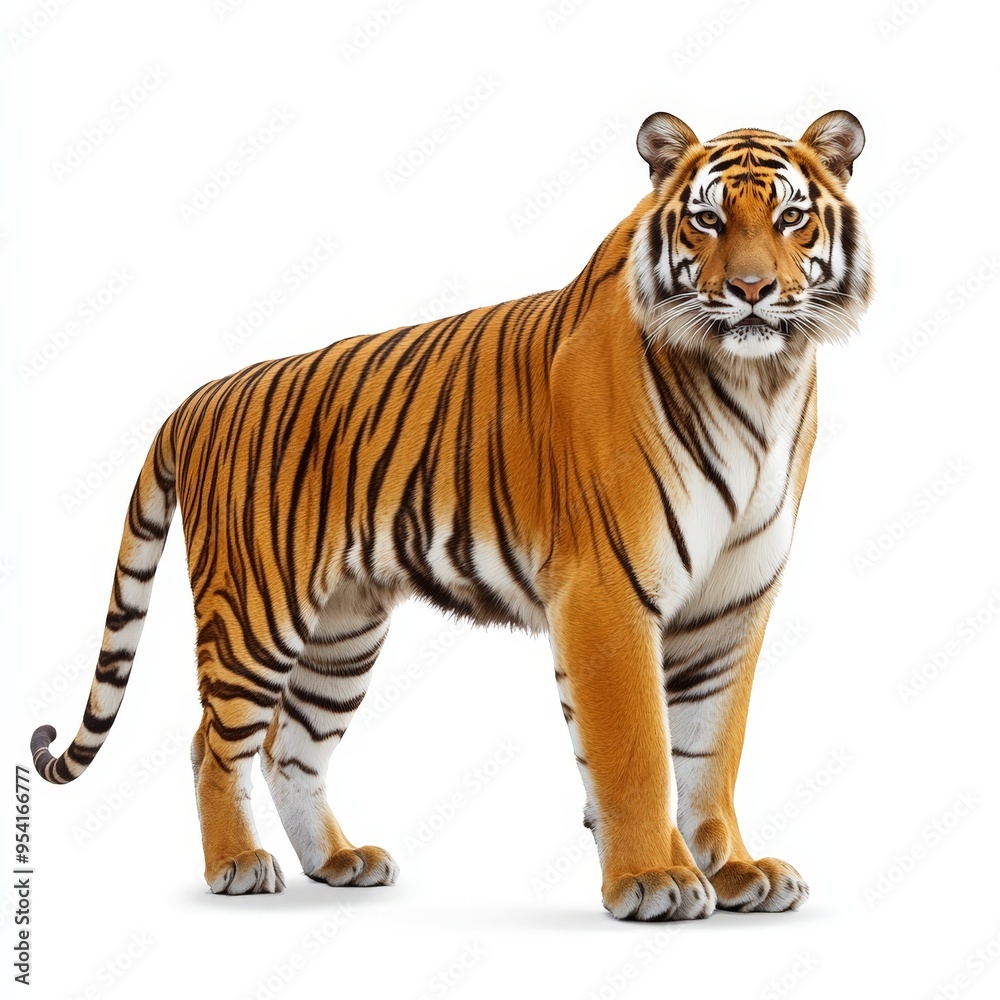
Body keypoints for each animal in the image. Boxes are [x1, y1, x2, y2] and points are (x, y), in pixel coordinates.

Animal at [31, 109, 873, 921]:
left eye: (792, 217)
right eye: (706, 220)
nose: (753, 290)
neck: (758, 383)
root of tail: (199, 397)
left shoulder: (732, 606)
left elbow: (710, 756)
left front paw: (734, 871)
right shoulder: (608, 592)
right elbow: (635, 752)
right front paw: (653, 879)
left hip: (341, 633)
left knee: (287, 748)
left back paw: (339, 862)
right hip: (254, 612)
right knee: (213, 744)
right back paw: (236, 866)